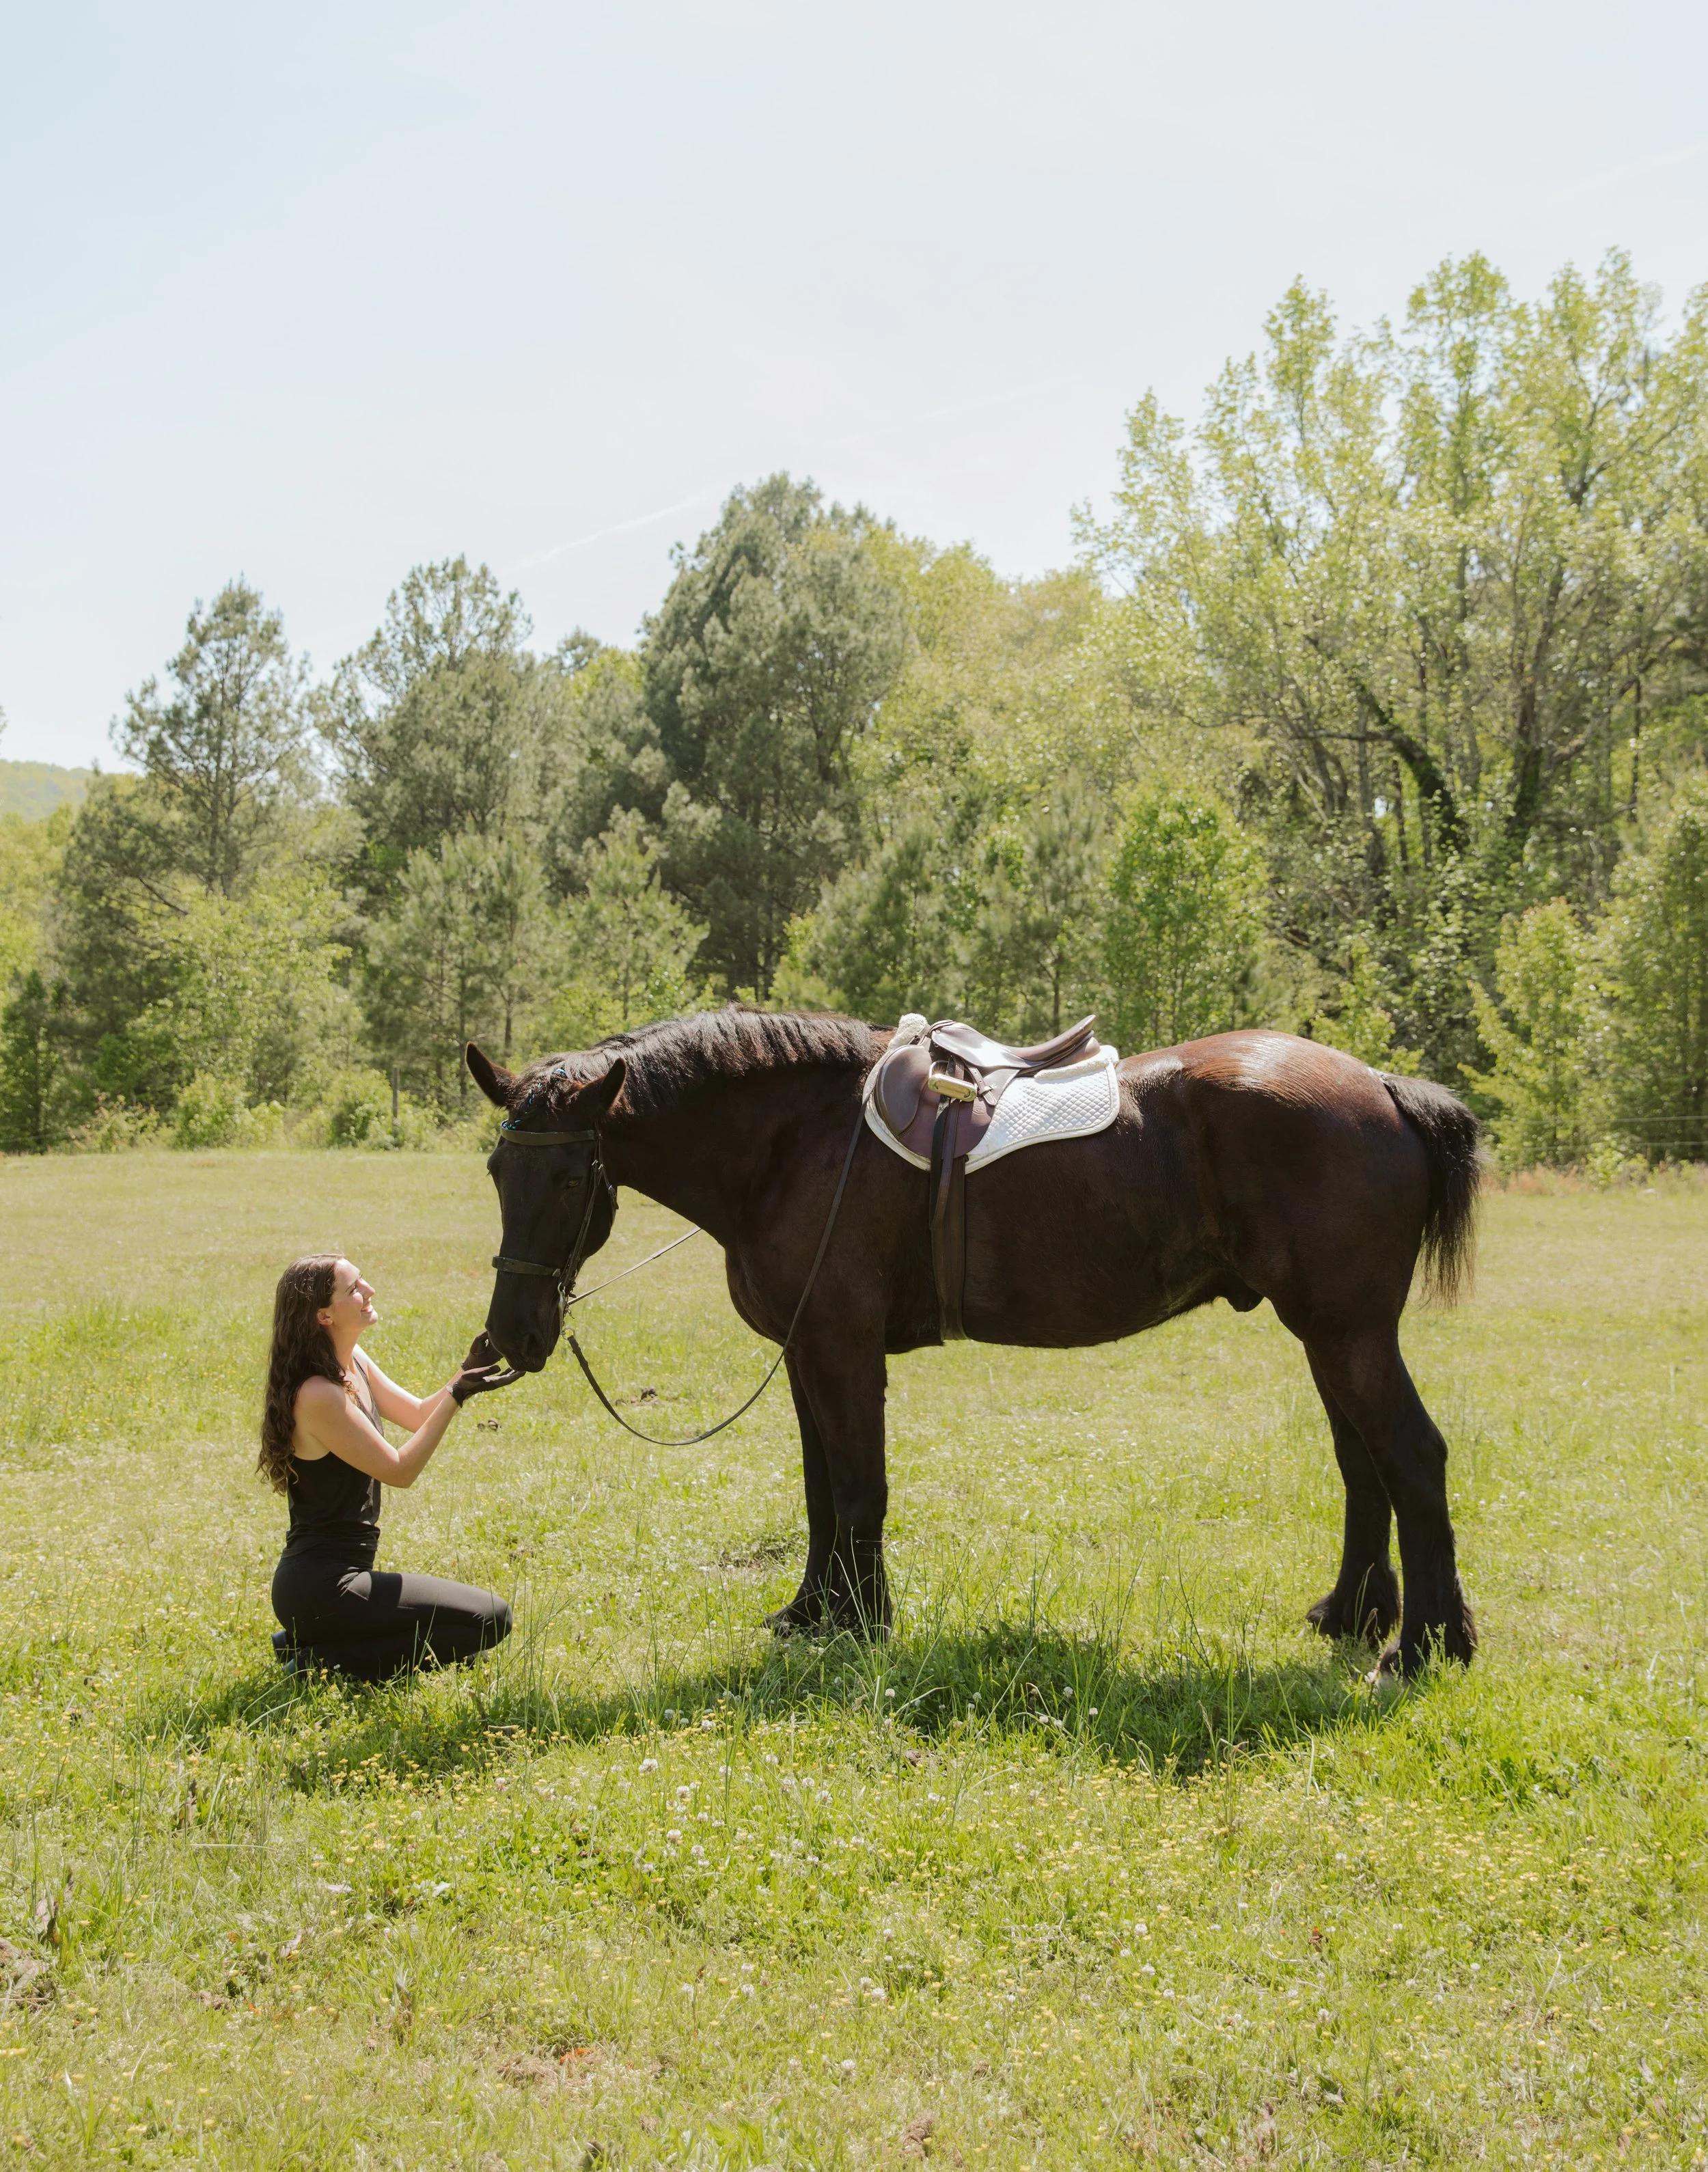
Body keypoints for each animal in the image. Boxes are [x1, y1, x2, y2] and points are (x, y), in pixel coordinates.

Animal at [467, 1008, 1482, 1677]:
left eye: (571, 1174)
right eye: (496, 1167)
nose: (512, 1334)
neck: (796, 1139)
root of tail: (1384, 1087)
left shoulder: (843, 1348)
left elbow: (860, 1489)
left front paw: (864, 1621)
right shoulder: (806, 1353)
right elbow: (821, 1493)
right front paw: (812, 1611)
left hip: (1348, 1333)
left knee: (1412, 1456)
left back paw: (1425, 1644)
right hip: (1328, 1334)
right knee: (1363, 1464)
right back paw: (1353, 1615)